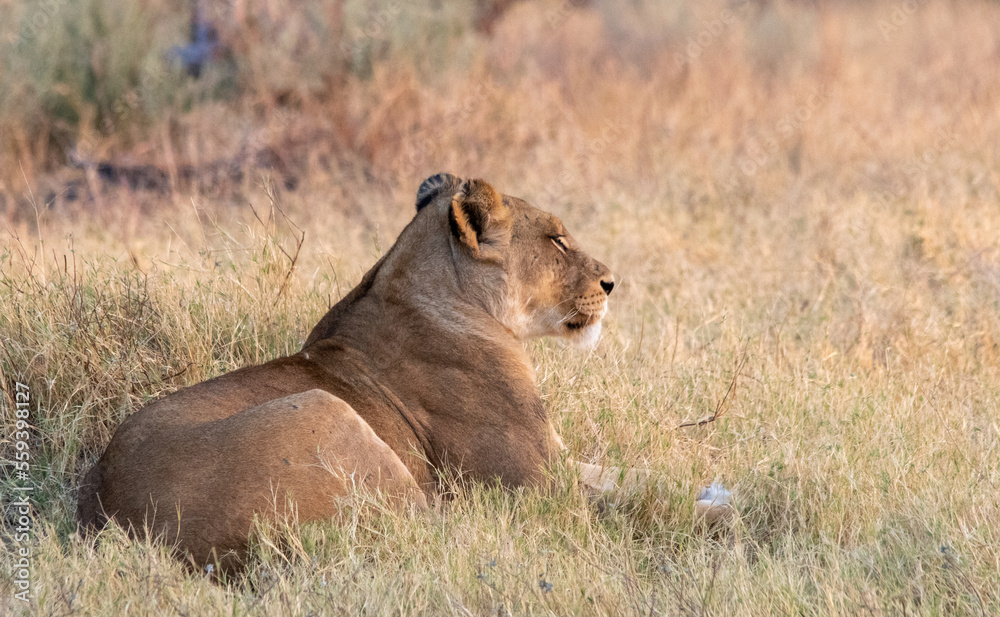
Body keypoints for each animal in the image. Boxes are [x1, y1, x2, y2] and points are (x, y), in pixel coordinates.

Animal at [77, 174, 729, 572]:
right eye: (556, 239)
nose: (611, 283)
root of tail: (114, 523)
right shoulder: (537, 487)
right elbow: (636, 503)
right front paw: (720, 513)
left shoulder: (562, 463)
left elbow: (637, 476)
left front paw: (718, 486)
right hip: (331, 415)